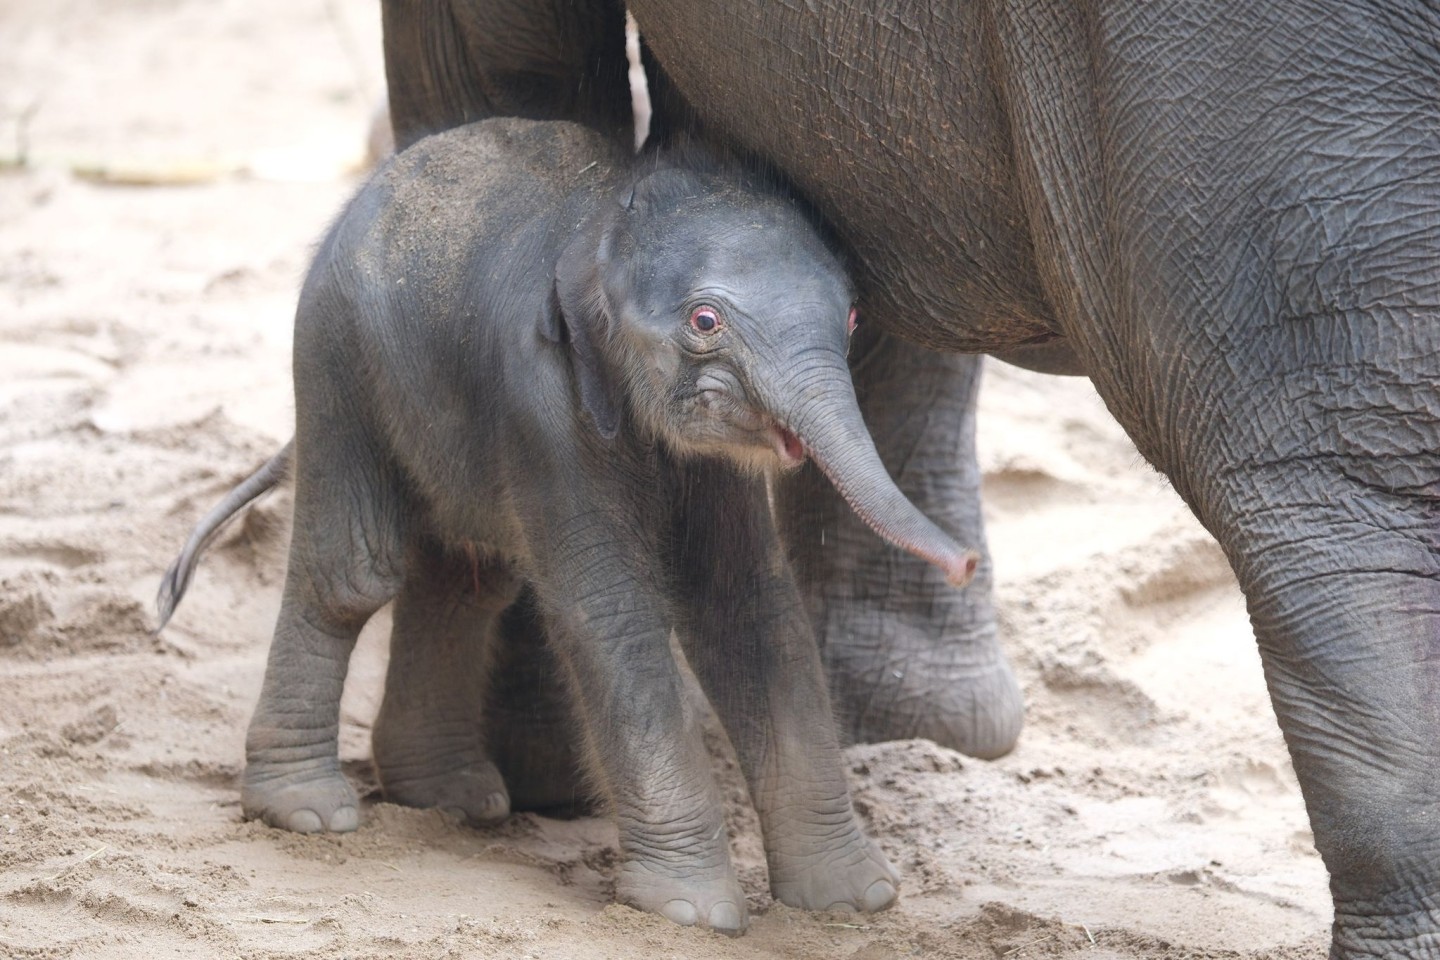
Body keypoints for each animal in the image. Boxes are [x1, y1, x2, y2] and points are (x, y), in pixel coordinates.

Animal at [163, 116, 979, 932]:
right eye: (705, 321)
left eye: (851, 317)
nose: (968, 563)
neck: (605, 226)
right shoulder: (544, 405)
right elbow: (611, 612)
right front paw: (689, 913)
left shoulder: (712, 466)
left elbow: (745, 609)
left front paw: (854, 902)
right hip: (335, 357)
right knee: (355, 575)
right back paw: (307, 811)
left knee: (462, 578)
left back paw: (450, 800)